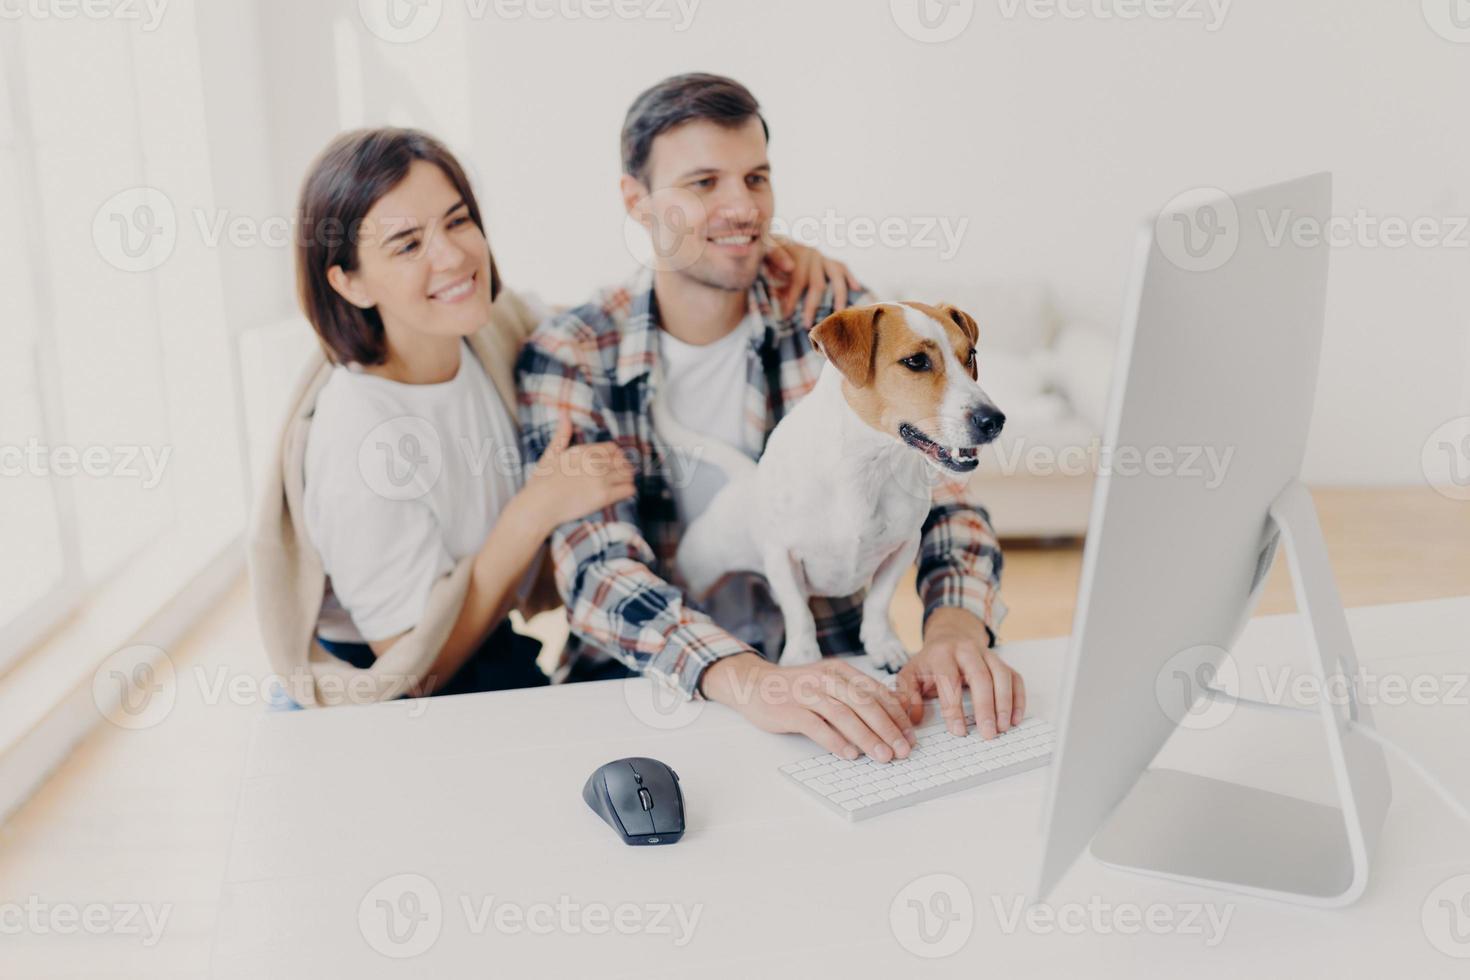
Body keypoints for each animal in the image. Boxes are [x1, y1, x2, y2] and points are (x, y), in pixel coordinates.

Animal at [673, 301, 1005, 667]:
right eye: (916, 361)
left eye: (970, 355)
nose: (994, 420)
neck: (868, 466)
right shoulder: (781, 555)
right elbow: (800, 612)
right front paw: (803, 658)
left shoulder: (903, 547)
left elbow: (878, 601)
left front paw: (882, 645)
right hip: (700, 574)